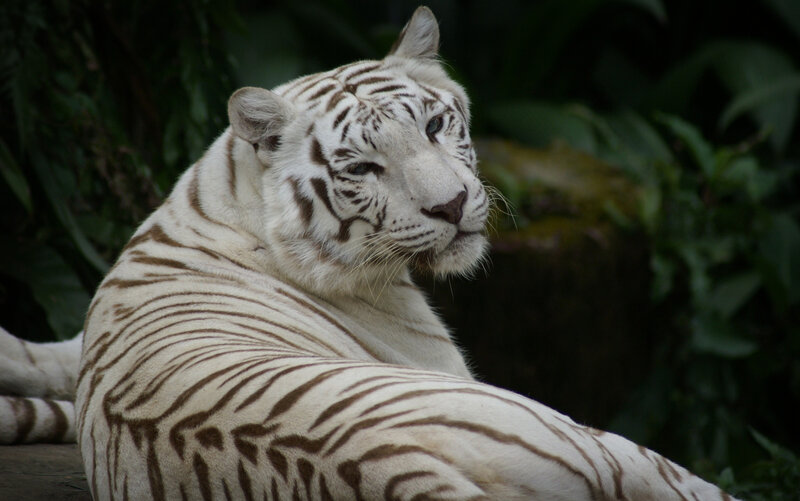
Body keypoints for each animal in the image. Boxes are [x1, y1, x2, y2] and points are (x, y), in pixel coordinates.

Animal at [0, 6, 737, 500]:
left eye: (436, 125)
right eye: (362, 167)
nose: (450, 205)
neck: (226, 188)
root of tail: (399, 473)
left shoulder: (79, 343)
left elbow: (45, 358)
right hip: (589, 438)